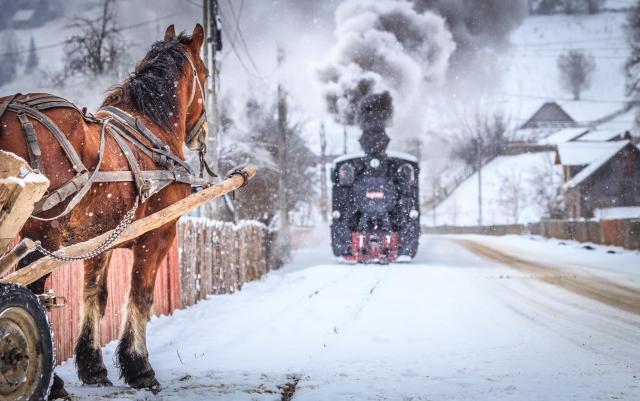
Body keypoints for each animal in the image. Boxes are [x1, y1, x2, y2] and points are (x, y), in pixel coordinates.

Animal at [0, 25, 210, 396]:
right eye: (207, 73)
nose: (204, 133)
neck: (151, 129)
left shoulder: (99, 241)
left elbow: (95, 296)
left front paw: (93, 367)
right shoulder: (157, 236)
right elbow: (140, 297)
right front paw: (139, 367)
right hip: (42, 235)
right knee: (36, 293)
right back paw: (51, 382)